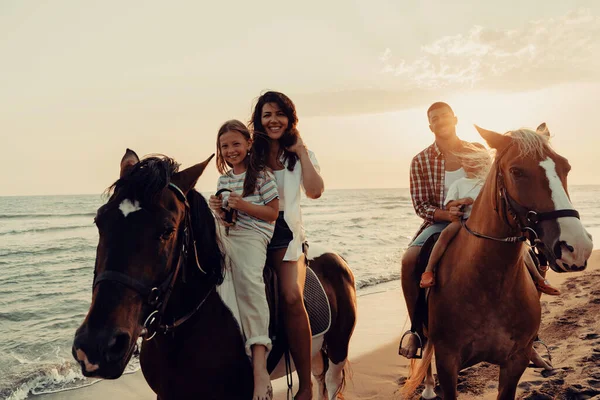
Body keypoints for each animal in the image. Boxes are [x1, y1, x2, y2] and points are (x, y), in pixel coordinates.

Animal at [400, 123, 592, 398]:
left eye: (565, 167)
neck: (489, 284)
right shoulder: (448, 362)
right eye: (516, 171)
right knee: (425, 347)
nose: (576, 247)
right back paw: (426, 388)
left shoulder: (515, 361)